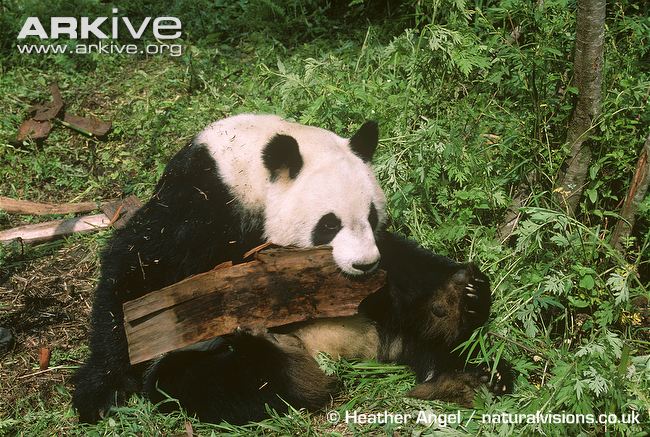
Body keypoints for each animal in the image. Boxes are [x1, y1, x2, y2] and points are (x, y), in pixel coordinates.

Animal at [72, 114, 384, 420]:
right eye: (329, 224)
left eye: (372, 217)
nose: (365, 263)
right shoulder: (200, 200)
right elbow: (137, 266)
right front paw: (100, 392)